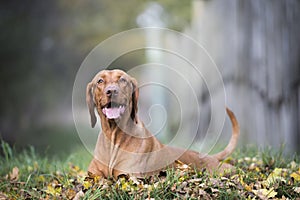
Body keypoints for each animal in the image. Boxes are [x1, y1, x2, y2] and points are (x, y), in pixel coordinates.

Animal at [86, 69, 239, 179]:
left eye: (122, 79)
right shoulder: (93, 177)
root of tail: (207, 155)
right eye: (100, 81)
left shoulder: (128, 176)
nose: (112, 91)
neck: (113, 136)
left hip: (220, 169)